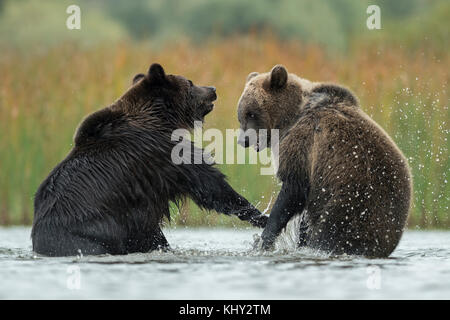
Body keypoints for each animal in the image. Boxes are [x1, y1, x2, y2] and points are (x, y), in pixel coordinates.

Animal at [34, 63, 268, 256]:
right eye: (190, 82)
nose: (212, 89)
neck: (162, 120)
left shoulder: (141, 217)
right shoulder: (162, 154)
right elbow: (209, 184)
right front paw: (259, 215)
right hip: (93, 234)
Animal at [237, 65, 414, 258]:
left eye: (251, 113)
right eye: (241, 115)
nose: (243, 140)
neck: (289, 118)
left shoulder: (304, 144)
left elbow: (292, 191)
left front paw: (263, 240)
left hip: (350, 205)